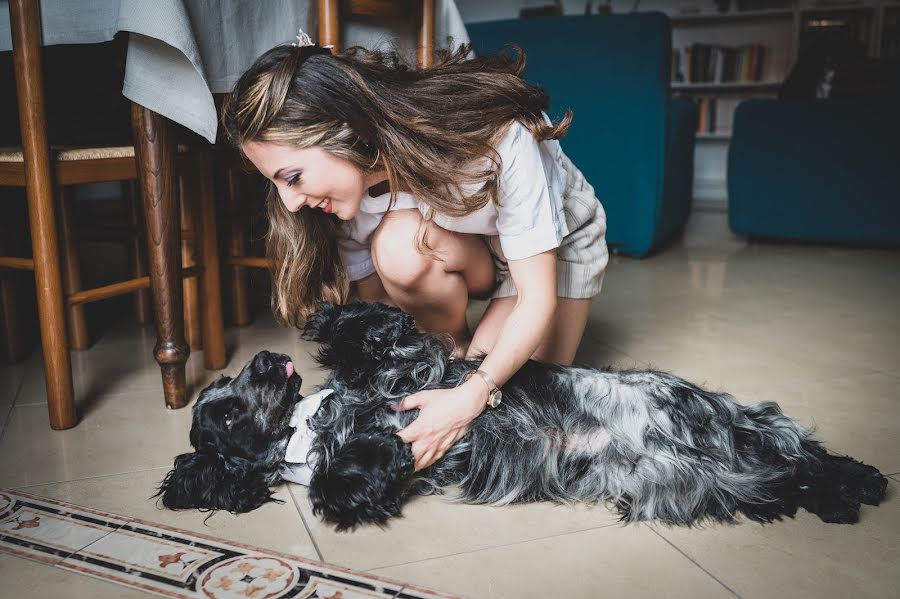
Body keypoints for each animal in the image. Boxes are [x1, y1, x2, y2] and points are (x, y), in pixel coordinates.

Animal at [158, 302, 888, 532]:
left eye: (223, 383)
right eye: (226, 410)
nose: (262, 360)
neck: (311, 426)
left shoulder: (417, 363)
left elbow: (372, 330)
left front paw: (329, 317)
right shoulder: (360, 475)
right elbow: (345, 481)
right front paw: (384, 451)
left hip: (716, 423)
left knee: (799, 450)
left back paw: (866, 479)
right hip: (691, 481)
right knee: (791, 474)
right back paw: (850, 494)